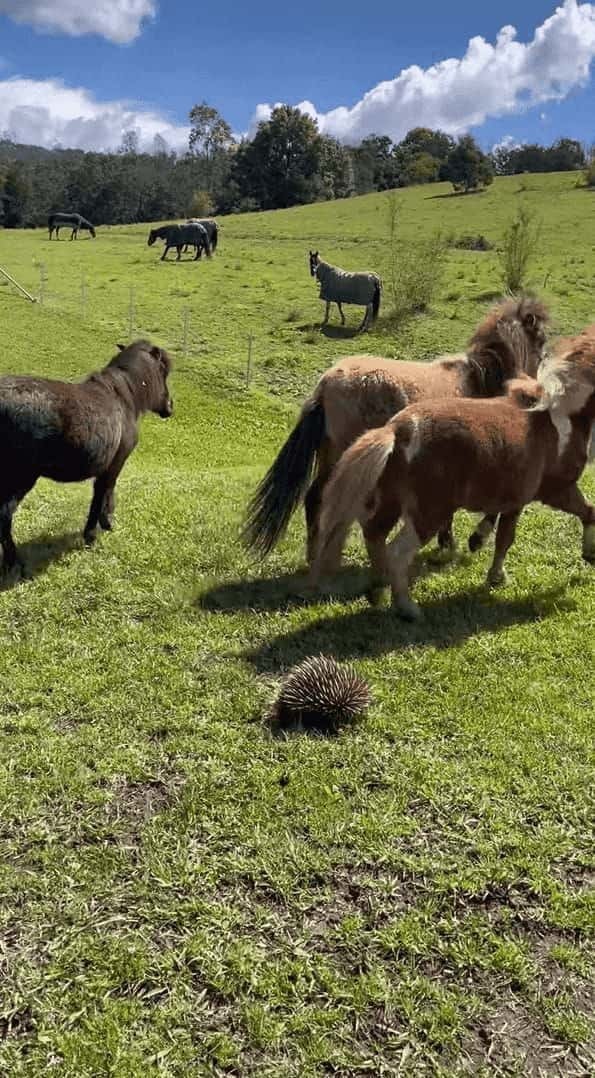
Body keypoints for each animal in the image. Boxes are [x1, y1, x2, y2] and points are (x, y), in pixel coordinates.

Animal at [0, 340, 175, 577]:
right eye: (163, 371)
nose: (170, 406)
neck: (123, 399)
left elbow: (103, 494)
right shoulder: (115, 463)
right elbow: (104, 493)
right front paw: (95, 532)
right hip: (19, 479)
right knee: (4, 516)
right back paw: (15, 564)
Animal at [242, 295, 547, 564]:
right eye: (541, 342)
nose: (535, 387)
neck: (479, 381)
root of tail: (326, 385)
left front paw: (449, 542)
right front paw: (471, 540)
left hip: (331, 454)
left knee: (314, 497)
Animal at [308, 323, 595, 620]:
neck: (558, 416)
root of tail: (396, 431)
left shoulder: (513, 500)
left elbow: (504, 537)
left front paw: (494, 572)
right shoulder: (557, 490)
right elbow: (586, 512)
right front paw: (589, 553)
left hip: (391, 504)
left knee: (374, 535)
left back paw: (377, 591)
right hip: (428, 514)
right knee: (397, 552)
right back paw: (407, 608)